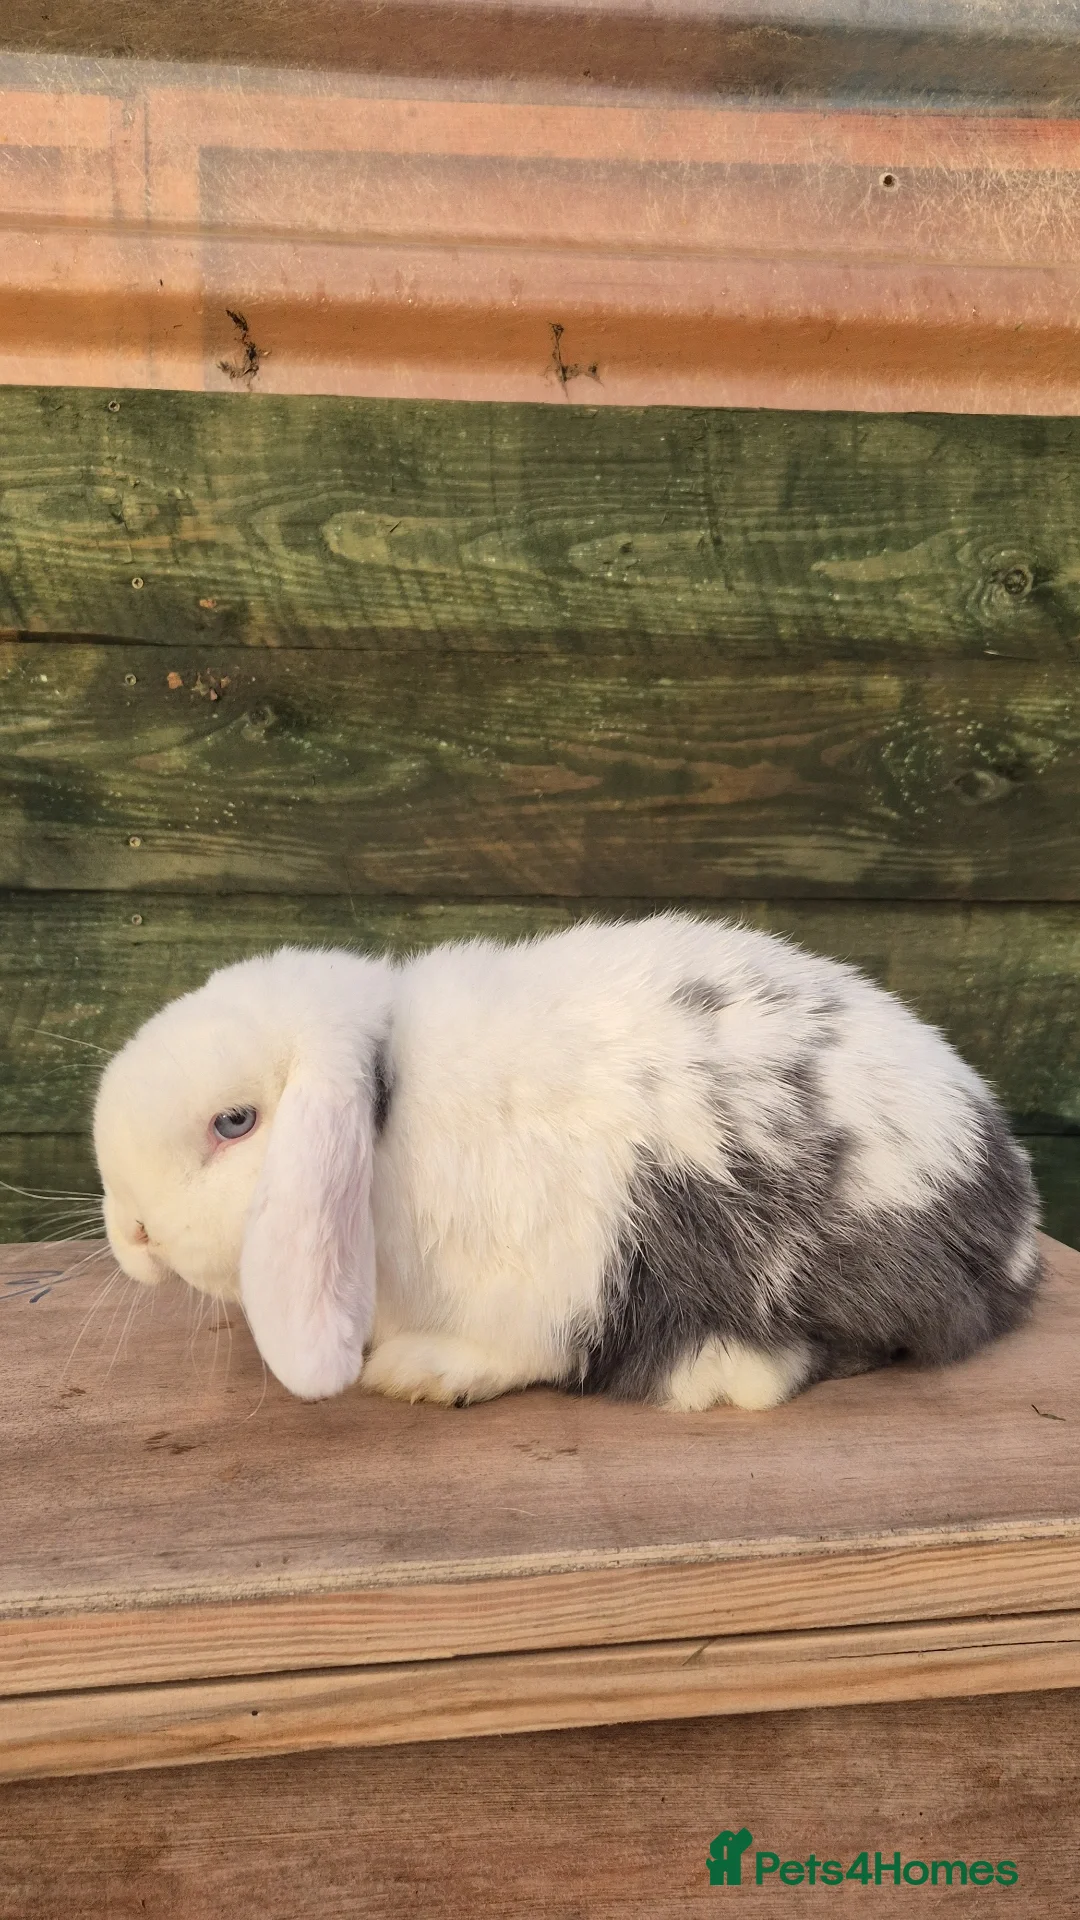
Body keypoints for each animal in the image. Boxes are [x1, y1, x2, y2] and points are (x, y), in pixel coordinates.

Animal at [93, 912, 1043, 1408]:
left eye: (234, 1122)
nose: (130, 1235)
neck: (387, 1117)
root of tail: (1013, 1211)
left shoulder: (550, 1280)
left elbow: (525, 1346)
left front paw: (423, 1372)